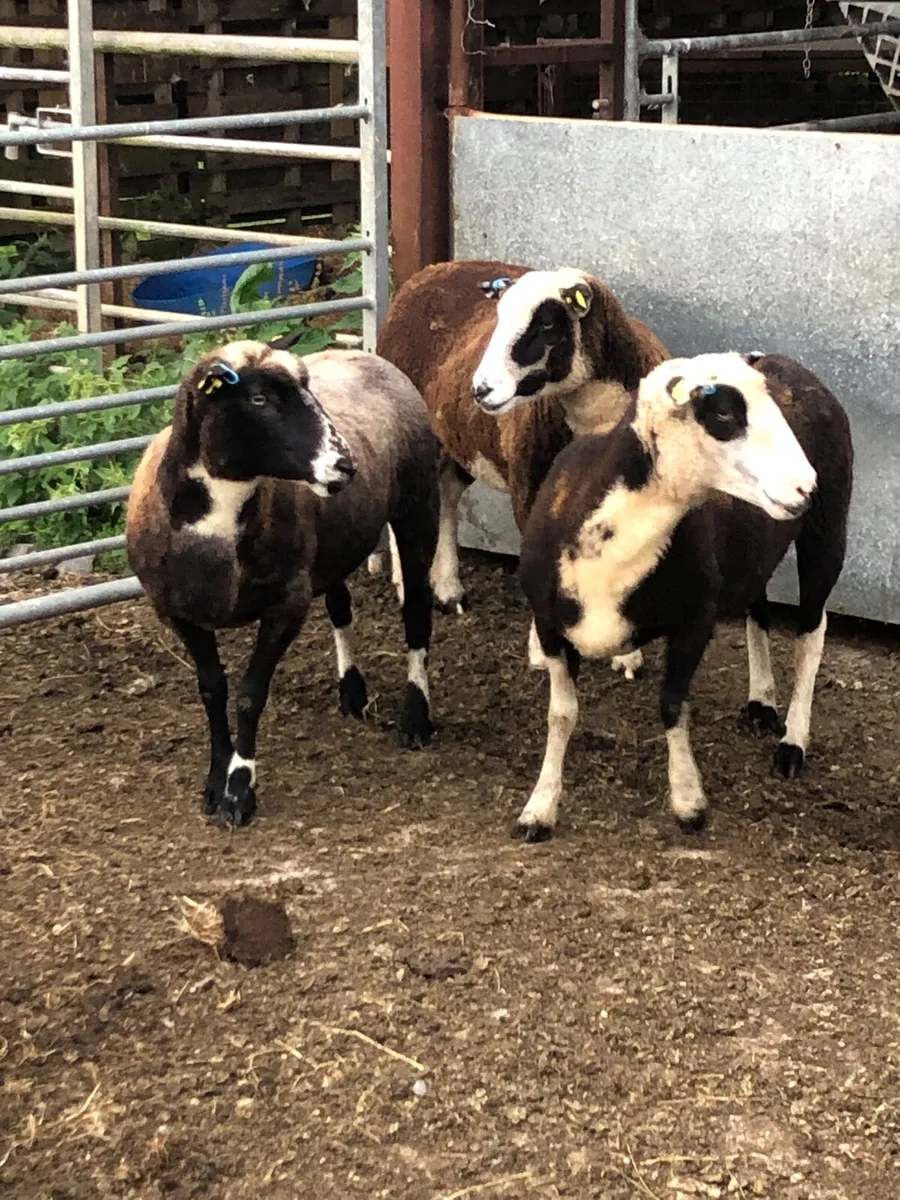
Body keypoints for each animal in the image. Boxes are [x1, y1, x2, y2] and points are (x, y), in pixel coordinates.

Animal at [126, 340, 440, 827]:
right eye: (259, 400)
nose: (344, 466)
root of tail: (368, 356)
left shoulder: (286, 604)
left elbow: (250, 695)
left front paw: (239, 791)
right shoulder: (179, 612)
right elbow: (212, 690)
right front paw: (215, 780)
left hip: (418, 507)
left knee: (417, 613)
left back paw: (416, 717)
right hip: (331, 545)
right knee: (340, 605)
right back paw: (351, 692)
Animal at [376, 261, 669, 670]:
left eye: (546, 323)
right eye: (498, 317)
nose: (481, 389)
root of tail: (431, 270)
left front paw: (626, 653)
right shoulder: (530, 486)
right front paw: (543, 651)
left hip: (460, 437)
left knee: (448, 493)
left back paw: (449, 588)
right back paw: (406, 583)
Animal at [487, 350, 852, 841]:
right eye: (723, 413)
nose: (804, 486)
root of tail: (788, 362)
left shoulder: (695, 619)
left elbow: (672, 706)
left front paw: (688, 802)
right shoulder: (548, 625)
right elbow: (561, 714)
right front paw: (538, 810)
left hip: (827, 530)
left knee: (812, 631)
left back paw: (792, 741)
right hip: (755, 548)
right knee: (757, 604)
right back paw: (761, 702)